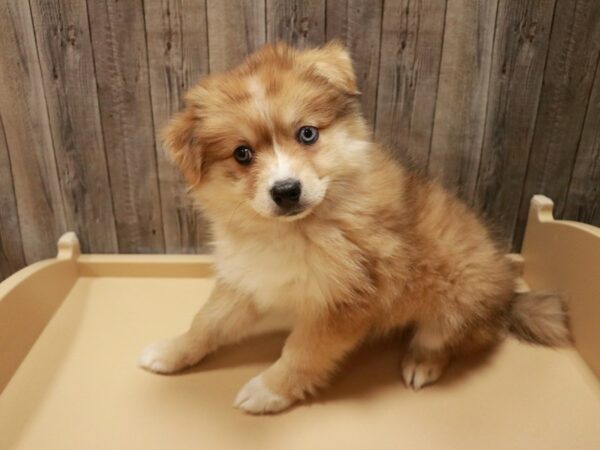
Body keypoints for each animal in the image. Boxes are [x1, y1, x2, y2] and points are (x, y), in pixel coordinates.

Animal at [138, 42, 568, 414]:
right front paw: (171, 351)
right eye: (242, 154)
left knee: (448, 339)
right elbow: (207, 322)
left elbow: (300, 353)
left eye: (307, 133)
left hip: (457, 293)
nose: (287, 191)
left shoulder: (345, 303)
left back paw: (422, 363)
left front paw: (267, 391)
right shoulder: (249, 278)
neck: (298, 230)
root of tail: (509, 298)